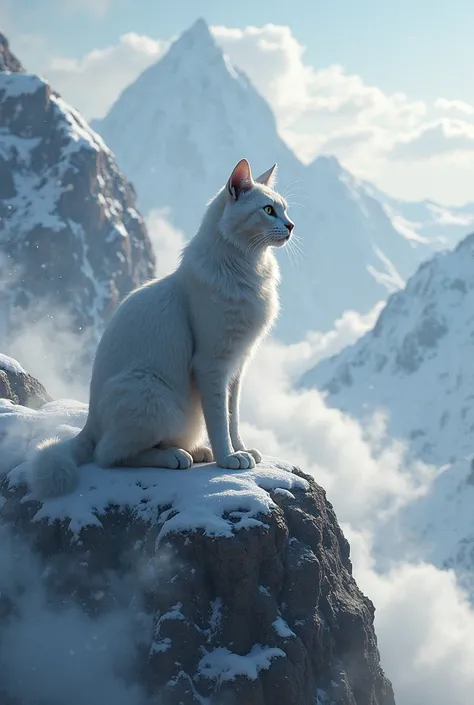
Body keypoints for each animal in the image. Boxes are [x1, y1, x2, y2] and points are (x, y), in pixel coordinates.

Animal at [29, 158, 294, 500]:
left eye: (284, 209)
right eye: (268, 210)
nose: (291, 226)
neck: (247, 268)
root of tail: (90, 423)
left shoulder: (237, 366)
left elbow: (232, 418)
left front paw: (242, 450)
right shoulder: (212, 364)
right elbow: (219, 420)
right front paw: (228, 458)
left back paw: (195, 451)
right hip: (151, 393)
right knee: (108, 454)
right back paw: (175, 457)